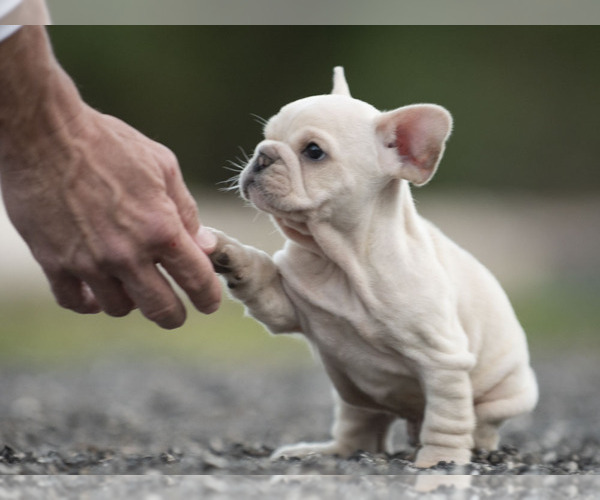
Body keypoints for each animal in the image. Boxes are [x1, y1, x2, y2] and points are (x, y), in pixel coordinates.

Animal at [207, 67, 540, 468]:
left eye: (313, 152)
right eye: (266, 136)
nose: (263, 155)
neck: (344, 259)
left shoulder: (443, 361)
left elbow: (447, 418)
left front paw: (439, 462)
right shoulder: (285, 305)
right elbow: (259, 277)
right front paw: (229, 254)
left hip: (501, 397)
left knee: (477, 425)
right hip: (356, 397)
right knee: (359, 431)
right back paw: (324, 452)